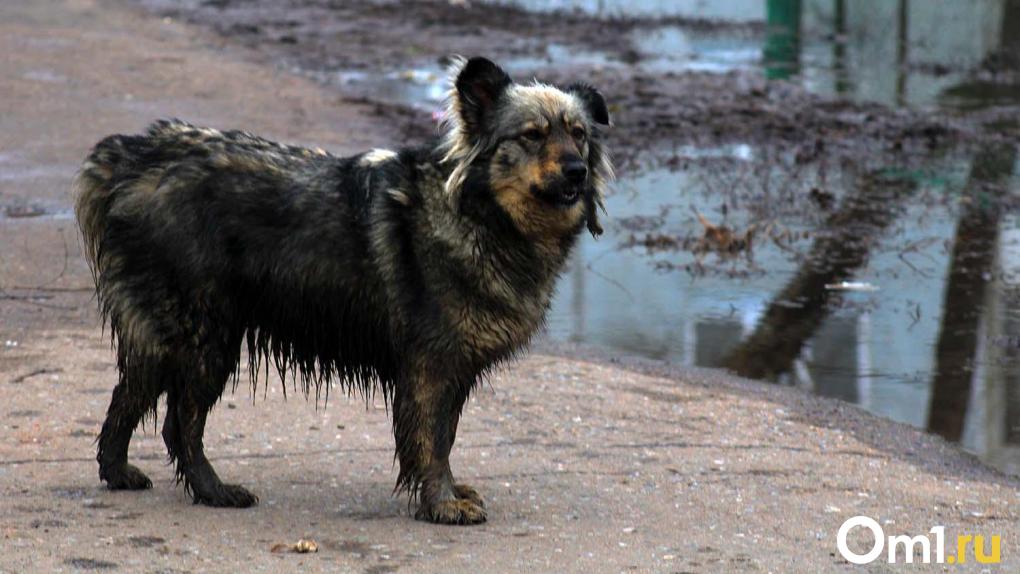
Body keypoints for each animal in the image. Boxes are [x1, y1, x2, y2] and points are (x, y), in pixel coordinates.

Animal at [77, 58, 612, 526]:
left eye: (579, 134)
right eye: (532, 135)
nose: (577, 171)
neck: (479, 213)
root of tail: (131, 157)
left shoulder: (453, 368)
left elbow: (444, 436)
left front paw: (447, 494)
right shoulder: (431, 365)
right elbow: (432, 442)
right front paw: (442, 505)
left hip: (180, 335)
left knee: (132, 397)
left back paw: (120, 473)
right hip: (203, 334)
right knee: (178, 420)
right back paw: (212, 490)